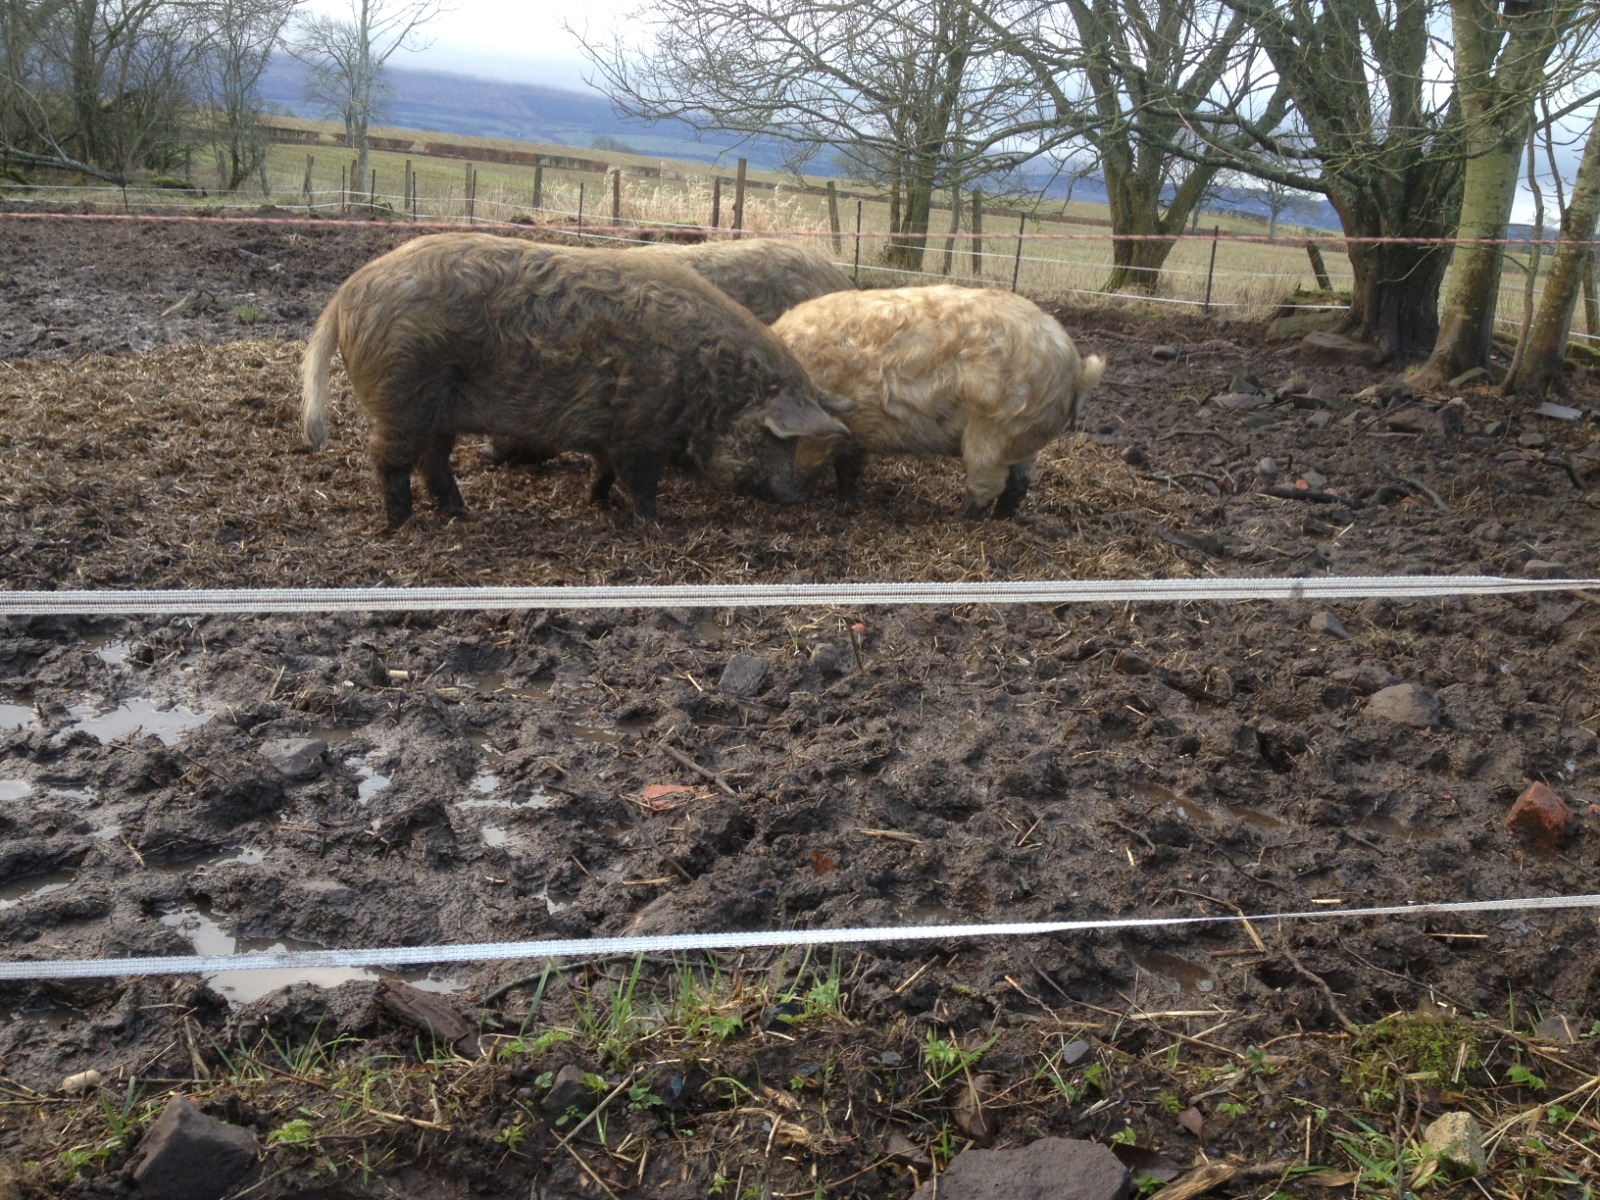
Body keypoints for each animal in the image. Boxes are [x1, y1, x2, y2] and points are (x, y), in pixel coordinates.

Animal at [770, 285, 1105, 519]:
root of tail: (1077, 367)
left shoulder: (818, 434)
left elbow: (809, 464)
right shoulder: (853, 431)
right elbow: (848, 467)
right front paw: (847, 500)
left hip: (994, 431)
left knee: (987, 484)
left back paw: (959, 519)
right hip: (1022, 436)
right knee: (1019, 482)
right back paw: (1003, 518)